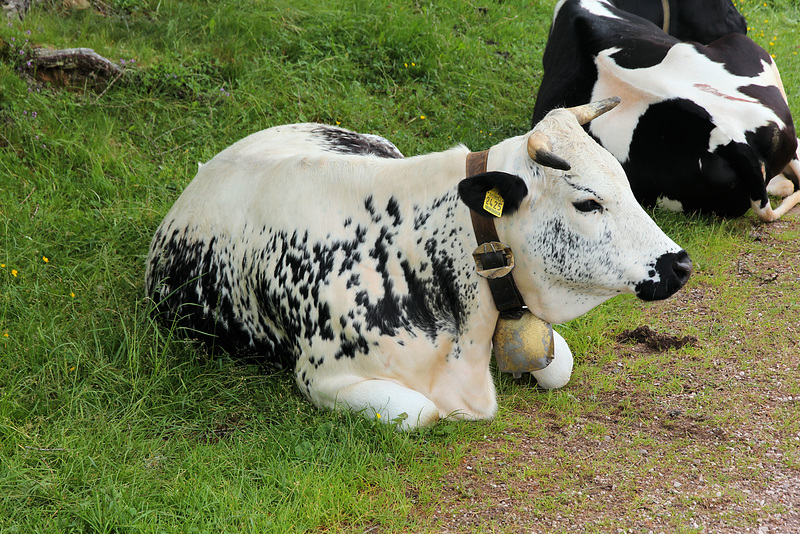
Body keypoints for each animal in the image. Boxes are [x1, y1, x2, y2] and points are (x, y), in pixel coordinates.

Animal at [147, 100, 692, 434]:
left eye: (625, 180)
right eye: (588, 203)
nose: (680, 264)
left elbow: (559, 365)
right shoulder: (322, 377)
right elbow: (424, 412)